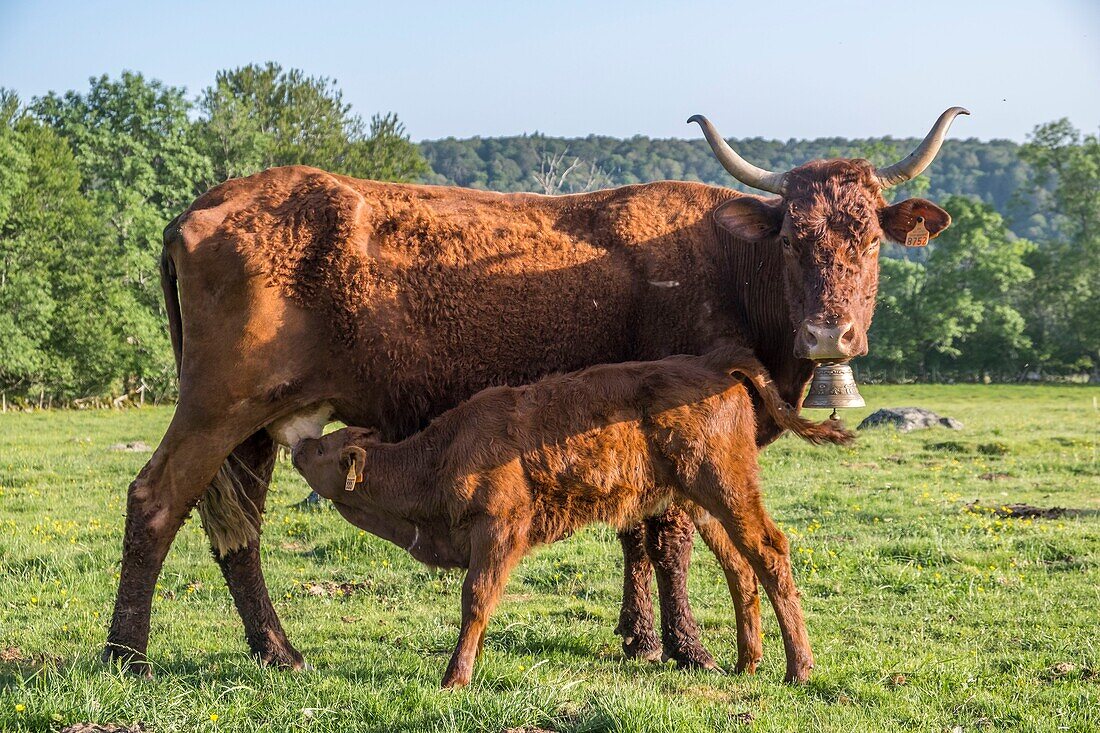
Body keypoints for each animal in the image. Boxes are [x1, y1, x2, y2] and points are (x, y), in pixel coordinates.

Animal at [290, 343, 849, 686]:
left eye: (321, 449)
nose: (296, 447)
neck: (441, 453)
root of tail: (713, 365)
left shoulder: (498, 530)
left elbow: (476, 599)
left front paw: (455, 678)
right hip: (701, 500)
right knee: (739, 567)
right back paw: (746, 663)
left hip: (727, 488)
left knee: (769, 552)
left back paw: (798, 669)